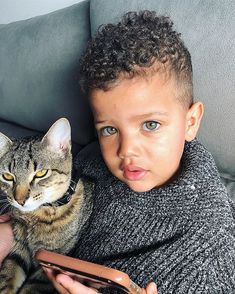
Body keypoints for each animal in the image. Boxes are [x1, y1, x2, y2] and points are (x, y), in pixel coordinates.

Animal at [0, 117, 93, 294]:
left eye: (41, 174)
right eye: (7, 176)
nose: (19, 200)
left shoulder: (52, 259)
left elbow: (32, 287)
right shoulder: (18, 248)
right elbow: (8, 275)